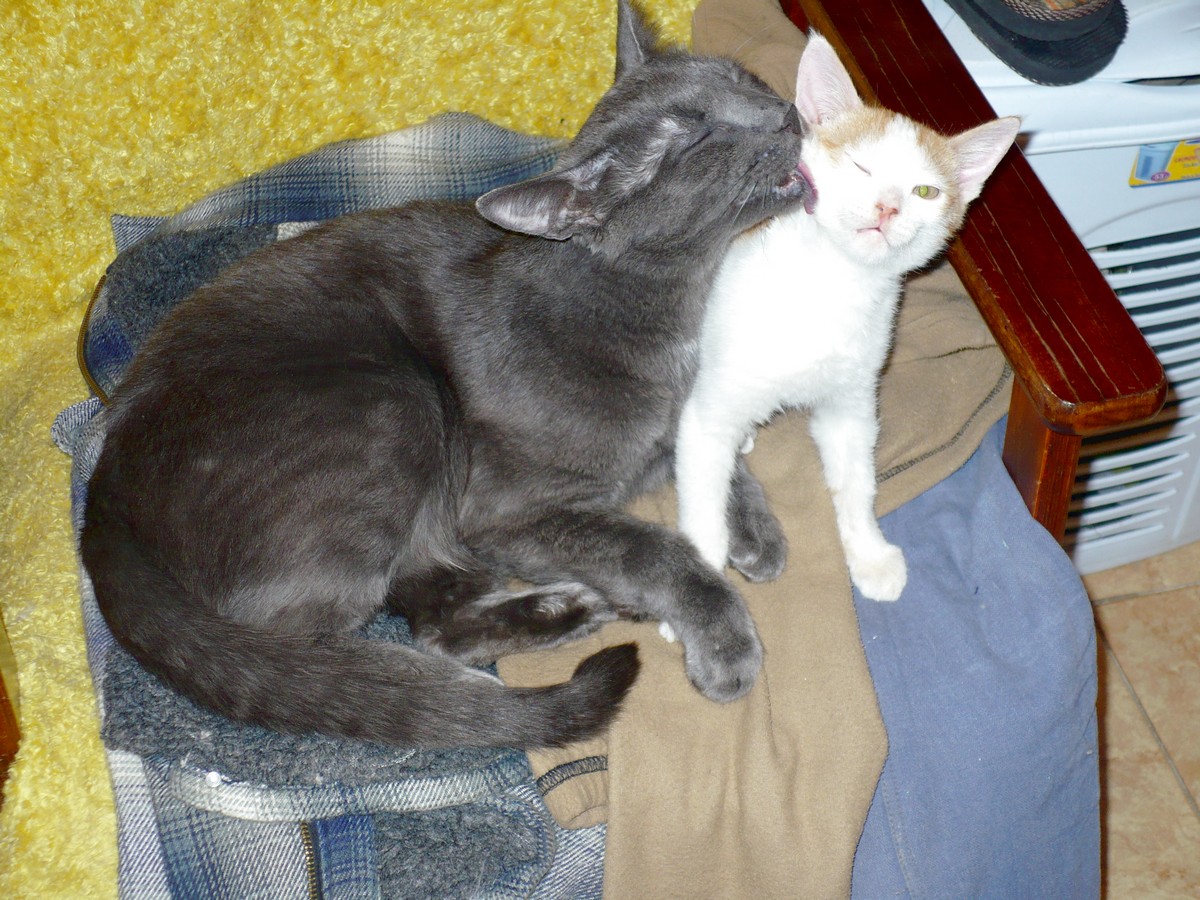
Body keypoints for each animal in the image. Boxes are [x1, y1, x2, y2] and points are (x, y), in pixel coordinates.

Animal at [79, 0, 815, 751]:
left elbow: (707, 449)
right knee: (334, 647)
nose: (785, 111)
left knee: (434, 613)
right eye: (694, 140)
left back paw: (566, 609)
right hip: (396, 404)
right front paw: (724, 640)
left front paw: (755, 535)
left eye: (740, 78)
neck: (669, 314)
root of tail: (102, 499)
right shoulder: (510, 509)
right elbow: (653, 551)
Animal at [673, 33, 1019, 603]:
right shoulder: (706, 416)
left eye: (925, 192)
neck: (834, 283)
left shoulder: (850, 406)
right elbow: (704, 508)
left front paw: (868, 552)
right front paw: (696, 597)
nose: (887, 208)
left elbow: (857, 480)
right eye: (860, 167)